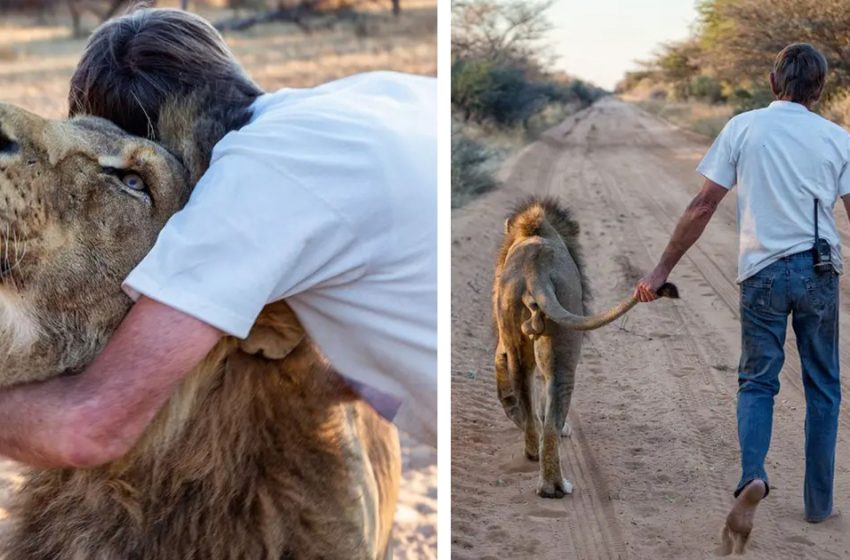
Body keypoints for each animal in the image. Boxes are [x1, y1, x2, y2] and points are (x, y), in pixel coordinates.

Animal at [490, 198, 676, 498]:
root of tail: (534, 271)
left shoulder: (504, 341)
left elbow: (502, 370)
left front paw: (511, 410)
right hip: (564, 344)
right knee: (552, 420)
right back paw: (554, 485)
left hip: (516, 335)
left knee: (526, 394)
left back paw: (532, 449)